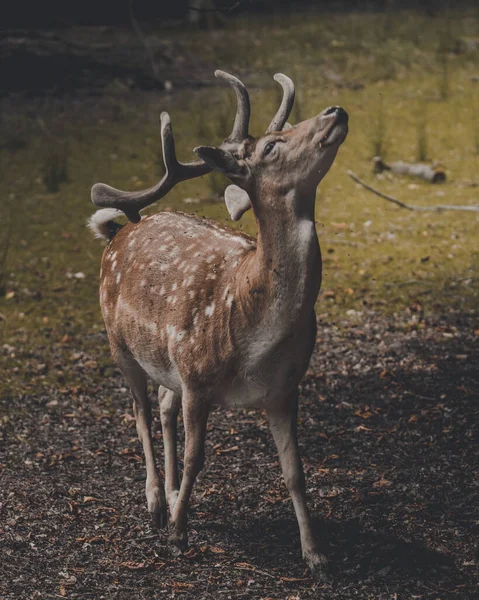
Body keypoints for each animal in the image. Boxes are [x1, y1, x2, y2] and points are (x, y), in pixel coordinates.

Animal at [87, 70, 348, 580]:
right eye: (272, 145)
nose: (335, 110)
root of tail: (119, 230)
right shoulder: (198, 378)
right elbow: (197, 457)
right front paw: (177, 537)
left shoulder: (285, 387)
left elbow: (295, 470)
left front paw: (316, 555)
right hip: (119, 343)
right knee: (140, 412)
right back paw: (156, 504)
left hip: (169, 362)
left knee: (163, 406)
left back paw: (170, 498)